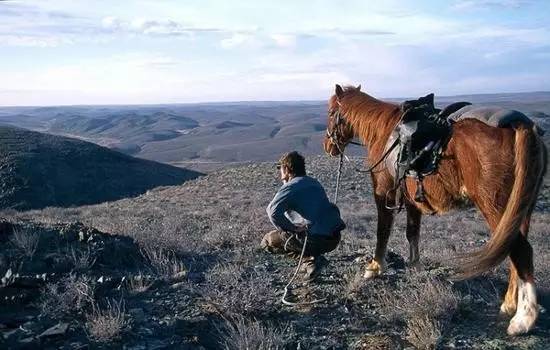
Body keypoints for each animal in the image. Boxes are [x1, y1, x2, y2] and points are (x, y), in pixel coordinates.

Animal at [326, 83, 548, 334]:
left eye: (331, 113)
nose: (328, 146)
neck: (383, 134)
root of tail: (522, 125)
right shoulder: (412, 199)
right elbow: (412, 232)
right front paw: (414, 266)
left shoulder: (383, 192)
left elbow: (382, 231)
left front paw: (374, 267)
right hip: (520, 210)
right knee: (513, 250)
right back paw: (509, 304)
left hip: (495, 205)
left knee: (521, 250)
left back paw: (523, 319)